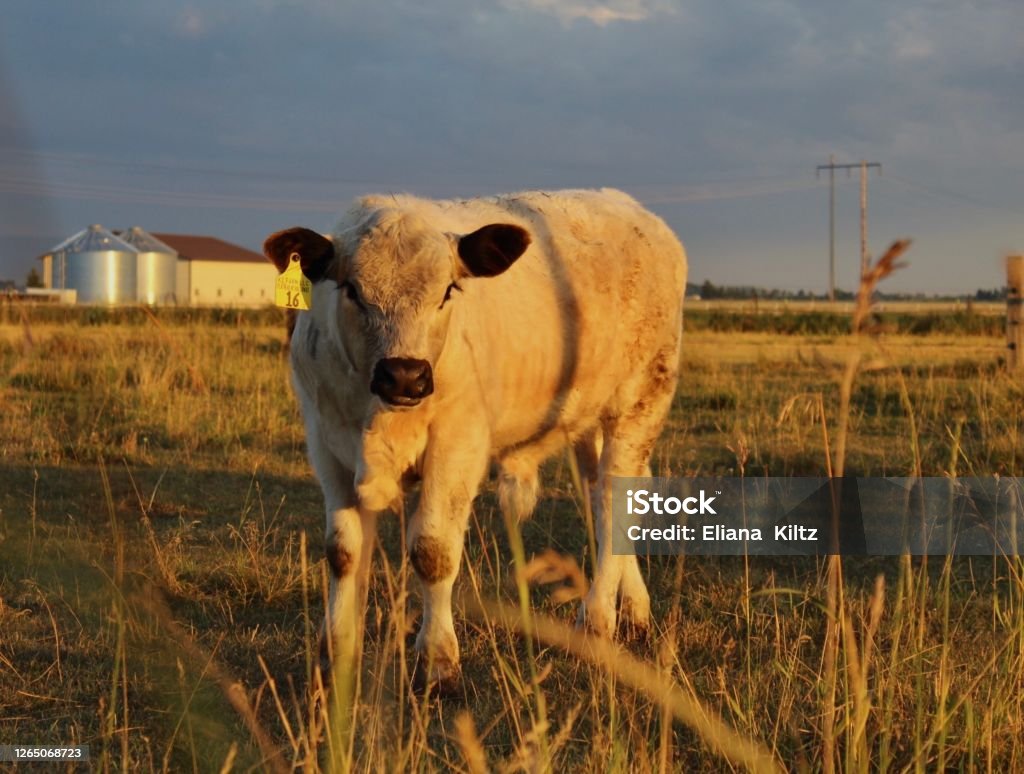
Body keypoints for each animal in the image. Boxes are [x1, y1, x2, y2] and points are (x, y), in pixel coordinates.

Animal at [263, 188, 686, 693]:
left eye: (448, 291)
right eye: (352, 291)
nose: (404, 375)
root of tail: (635, 210)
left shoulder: (457, 447)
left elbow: (432, 551)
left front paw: (438, 660)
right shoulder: (327, 445)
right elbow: (343, 552)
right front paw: (335, 655)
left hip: (642, 399)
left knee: (614, 506)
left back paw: (598, 618)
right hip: (589, 419)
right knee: (607, 500)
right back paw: (634, 609)